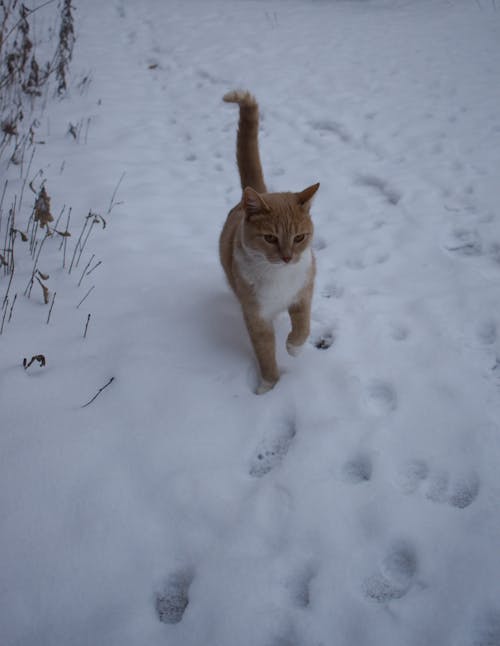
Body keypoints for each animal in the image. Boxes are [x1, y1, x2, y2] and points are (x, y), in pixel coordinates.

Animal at [220, 91, 320, 394]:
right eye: (270, 238)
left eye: (299, 237)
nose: (288, 257)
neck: (279, 277)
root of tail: (260, 192)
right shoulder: (256, 316)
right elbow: (264, 351)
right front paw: (268, 384)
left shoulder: (304, 289)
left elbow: (303, 324)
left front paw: (294, 347)